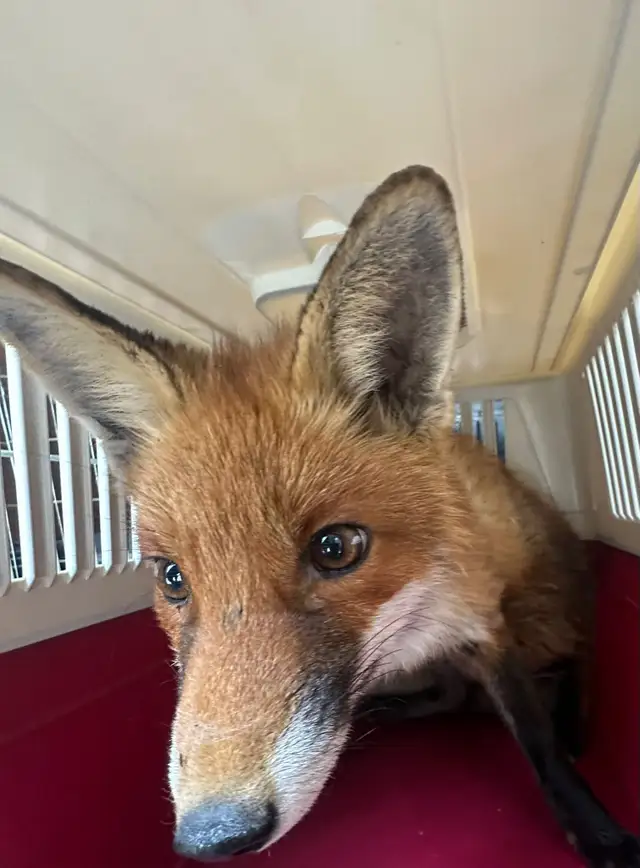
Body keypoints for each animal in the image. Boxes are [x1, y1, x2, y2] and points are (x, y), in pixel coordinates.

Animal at [1, 166, 638, 867]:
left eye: (337, 548)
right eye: (172, 578)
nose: (212, 835)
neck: (407, 622)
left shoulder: (483, 623)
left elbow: (538, 741)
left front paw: (598, 829)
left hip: (546, 611)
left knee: (576, 655)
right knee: (454, 696)